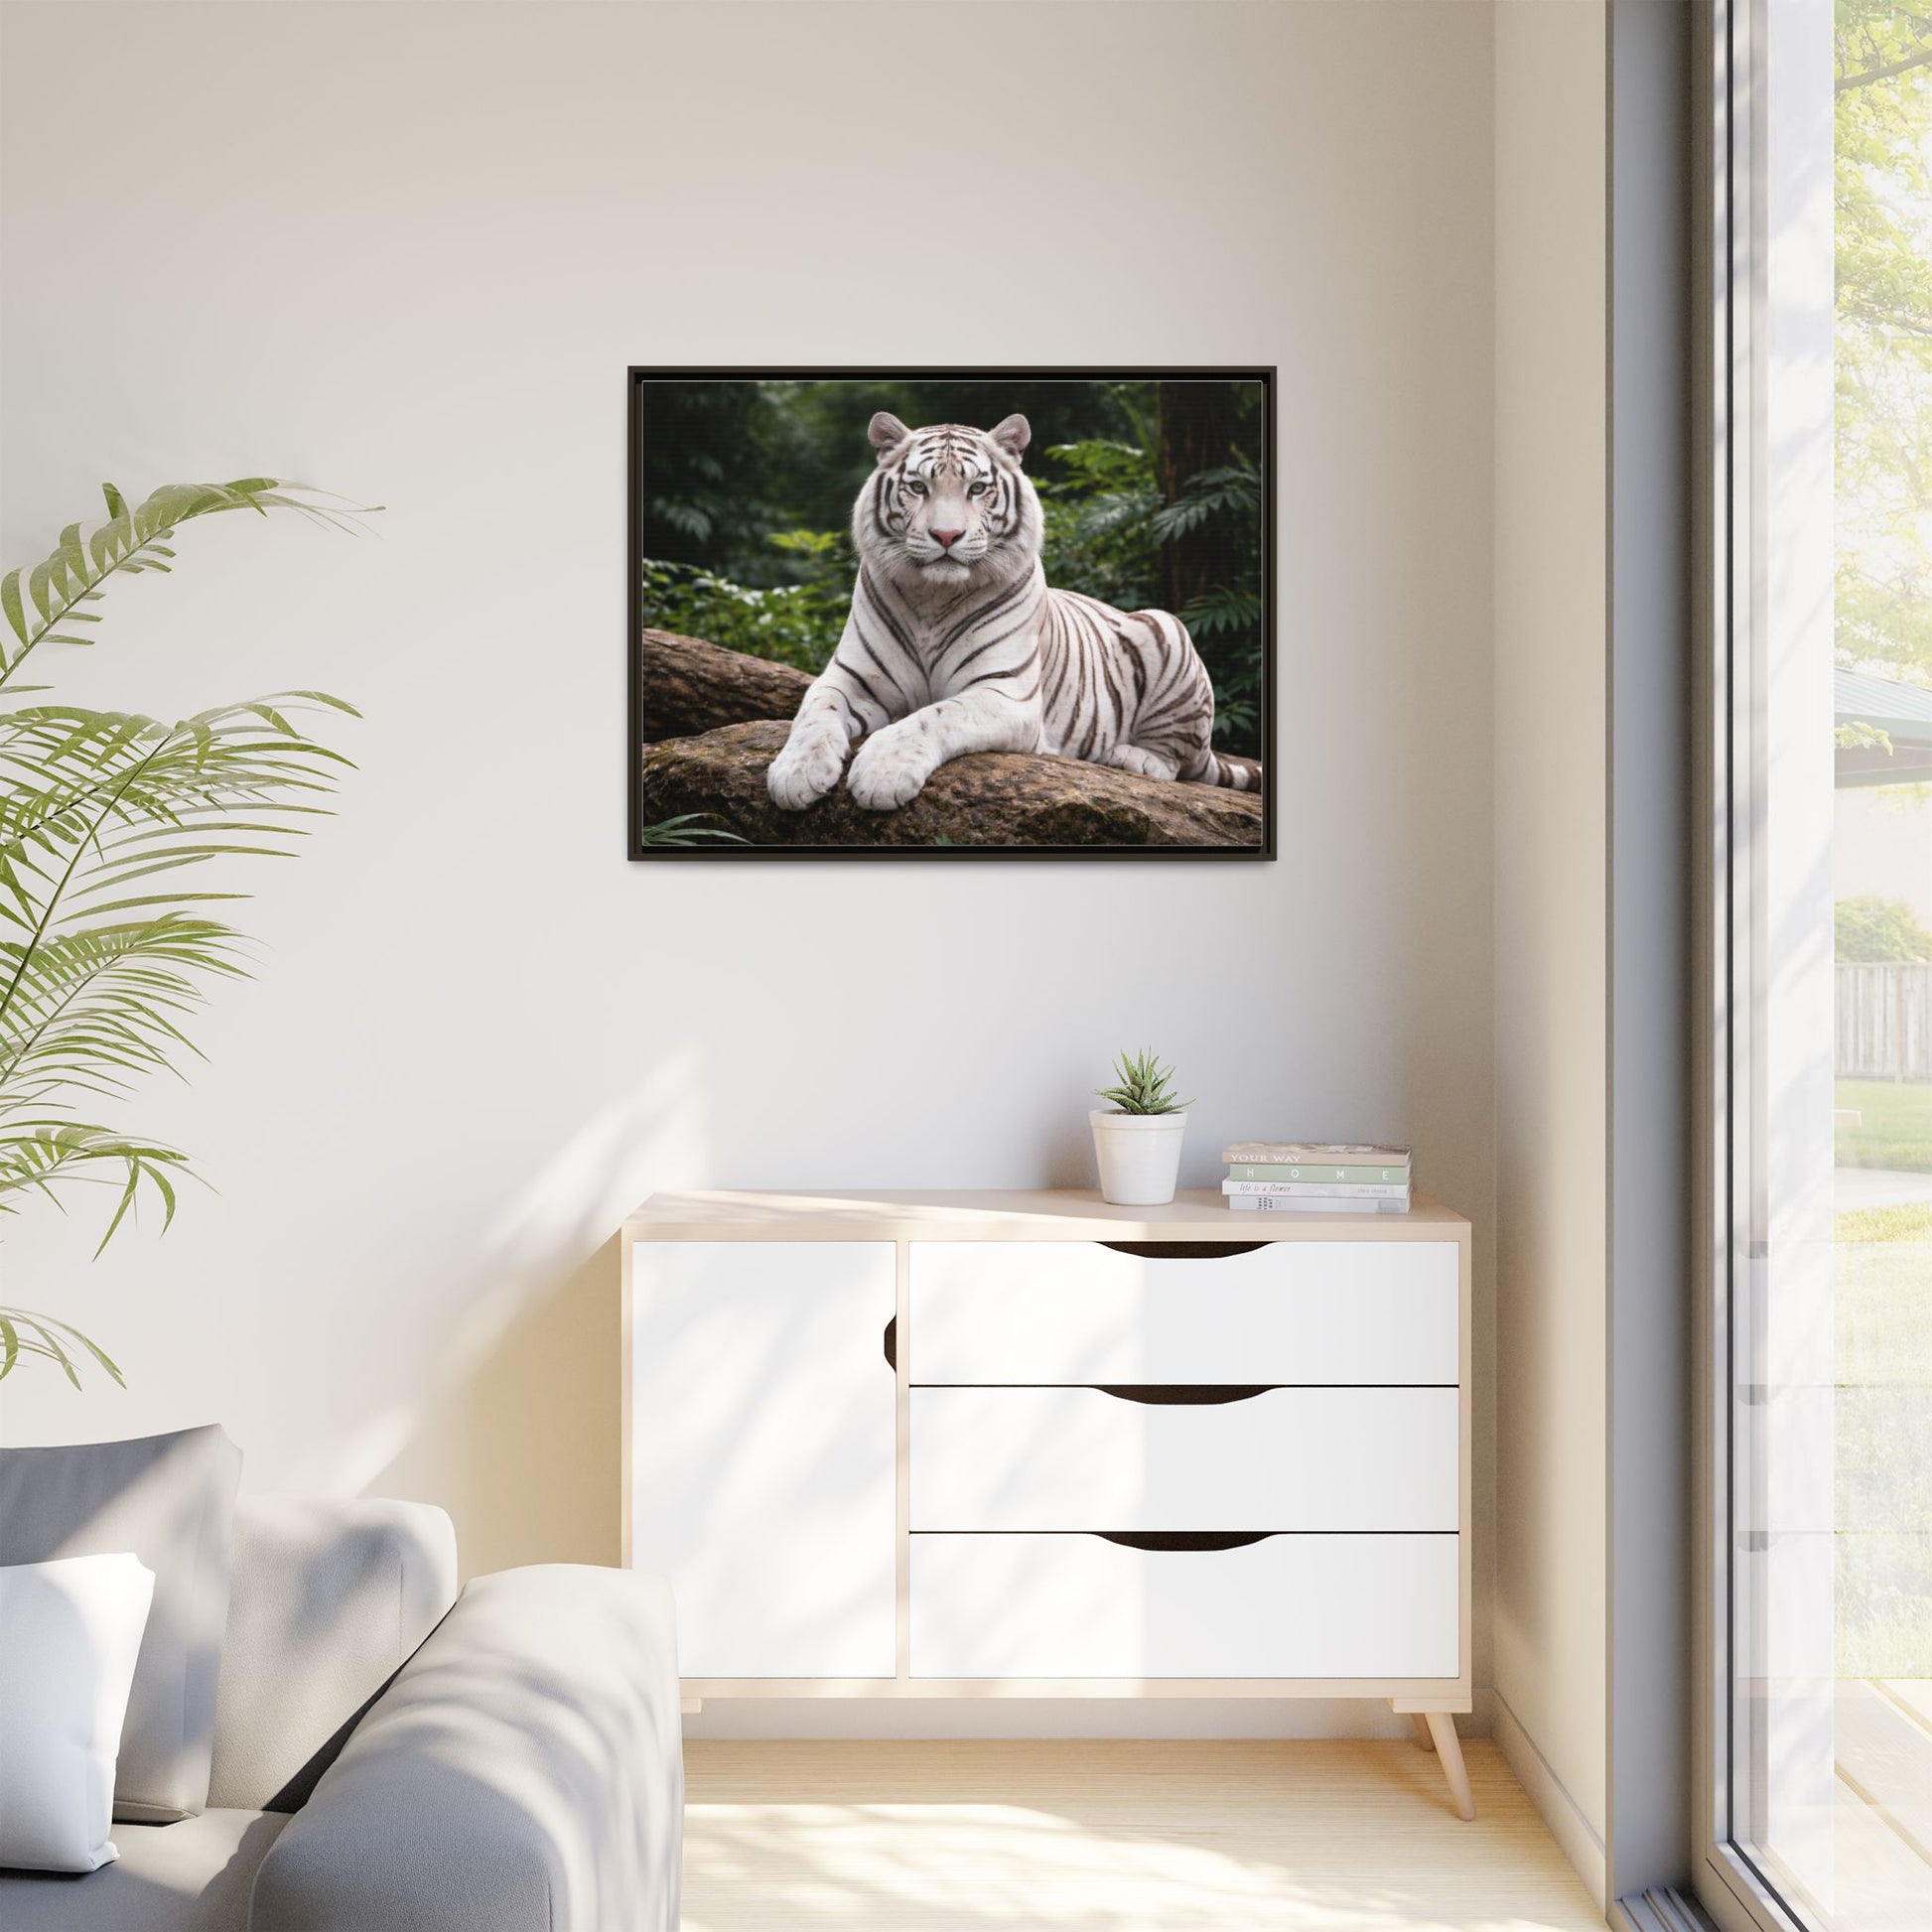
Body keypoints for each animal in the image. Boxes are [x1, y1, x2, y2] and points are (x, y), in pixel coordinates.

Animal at [764, 411, 1260, 813]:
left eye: (977, 488)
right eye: (919, 487)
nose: (947, 535)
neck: (932, 598)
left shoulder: (1004, 693)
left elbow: (932, 716)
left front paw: (882, 773)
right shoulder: (849, 677)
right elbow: (814, 712)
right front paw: (795, 773)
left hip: (1165, 627)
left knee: (1177, 762)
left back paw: (1129, 757)